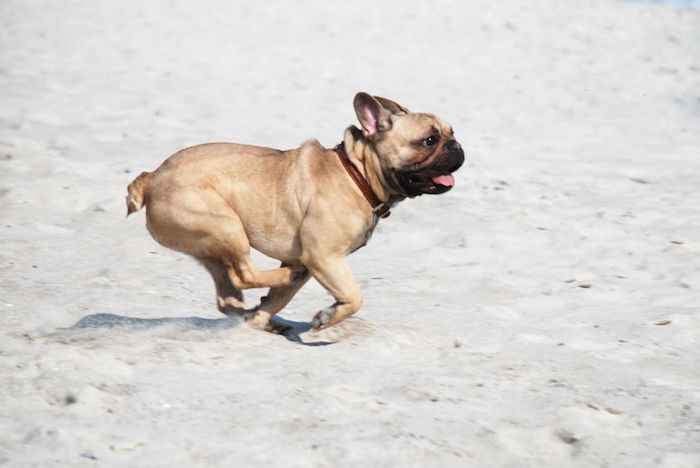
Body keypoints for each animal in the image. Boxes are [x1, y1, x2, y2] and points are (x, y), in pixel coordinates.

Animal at [127, 92, 464, 332]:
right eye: (430, 140)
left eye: (452, 132)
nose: (457, 147)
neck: (357, 176)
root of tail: (152, 178)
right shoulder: (323, 257)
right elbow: (354, 297)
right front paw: (326, 318)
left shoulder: (317, 261)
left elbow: (280, 299)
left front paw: (261, 317)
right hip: (227, 227)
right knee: (245, 275)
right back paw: (283, 279)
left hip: (210, 248)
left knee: (229, 295)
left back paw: (257, 316)